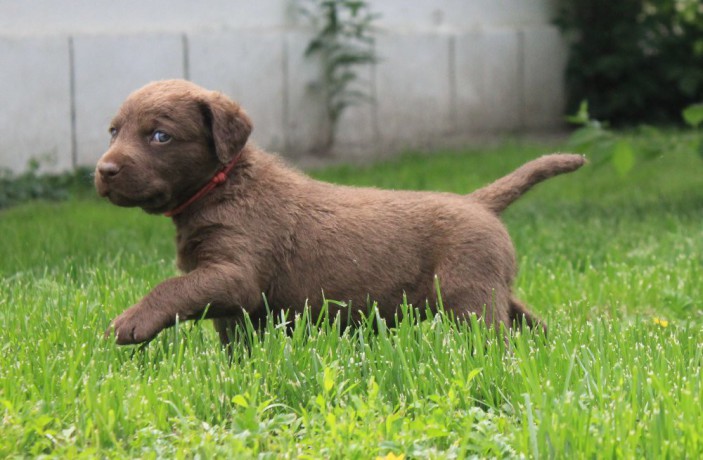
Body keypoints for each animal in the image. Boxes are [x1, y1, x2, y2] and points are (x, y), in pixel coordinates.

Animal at [95, 80, 588, 344]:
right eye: (114, 131)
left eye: (159, 136)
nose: (103, 170)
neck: (225, 183)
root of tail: (476, 201)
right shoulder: (230, 298)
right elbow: (233, 335)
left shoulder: (233, 272)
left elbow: (173, 288)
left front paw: (133, 321)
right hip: (488, 288)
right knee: (523, 318)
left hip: (467, 293)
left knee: (491, 335)